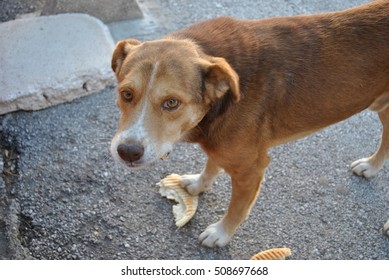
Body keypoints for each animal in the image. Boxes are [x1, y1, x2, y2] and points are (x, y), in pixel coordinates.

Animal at [110, 1, 388, 248]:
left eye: (171, 103)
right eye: (126, 94)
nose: (127, 152)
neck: (222, 101)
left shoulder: (250, 168)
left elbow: (237, 208)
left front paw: (221, 233)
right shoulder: (220, 143)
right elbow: (212, 164)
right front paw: (198, 184)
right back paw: (371, 166)